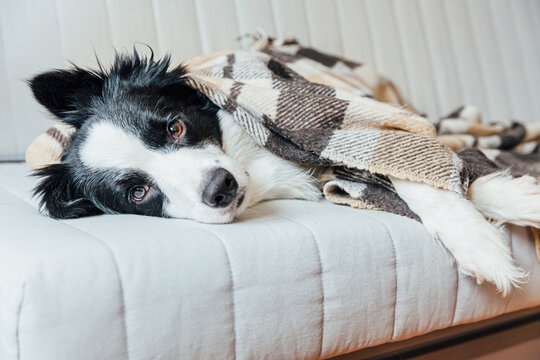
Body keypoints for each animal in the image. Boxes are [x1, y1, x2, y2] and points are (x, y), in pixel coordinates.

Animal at [30, 52, 540, 296]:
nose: (220, 188)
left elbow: (415, 167)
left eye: (175, 126)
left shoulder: (351, 131)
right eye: (138, 192)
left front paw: (484, 236)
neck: (257, 170)